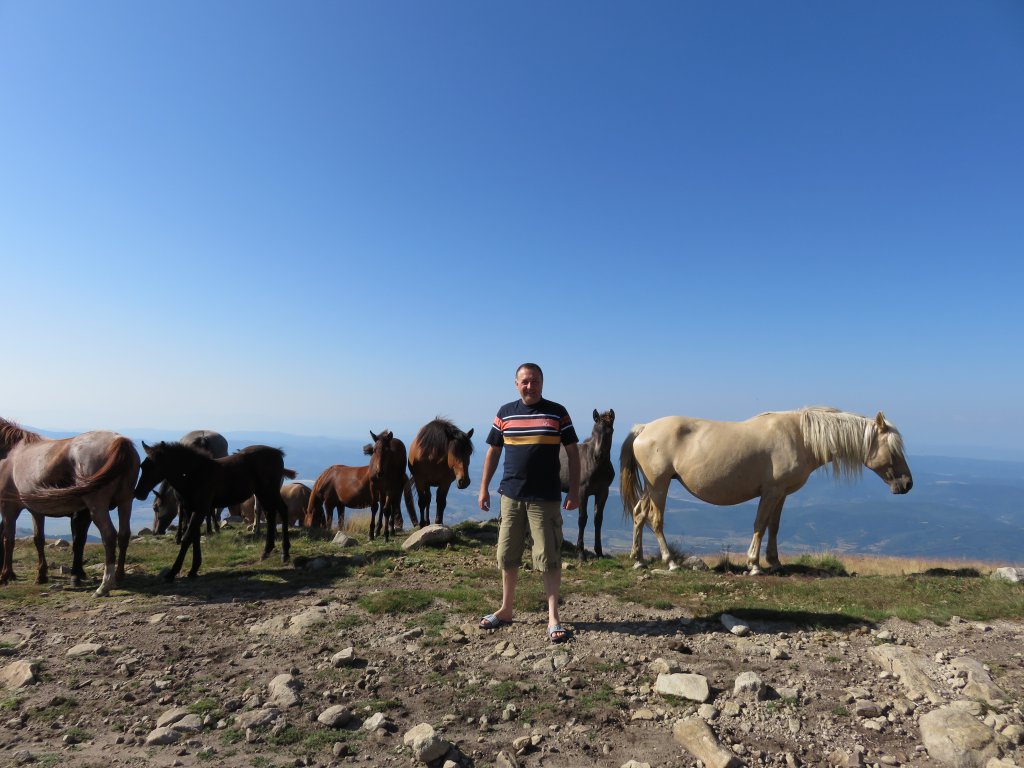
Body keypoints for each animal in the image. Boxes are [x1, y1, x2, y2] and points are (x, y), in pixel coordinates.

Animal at [0, 418, 140, 596]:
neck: (12, 453)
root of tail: (119, 440)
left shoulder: (8, 508)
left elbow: (8, 539)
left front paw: (5, 576)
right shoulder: (36, 511)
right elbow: (39, 539)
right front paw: (41, 575)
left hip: (98, 506)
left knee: (109, 536)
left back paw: (105, 585)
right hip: (125, 501)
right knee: (123, 535)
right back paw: (119, 576)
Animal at [134, 442, 296, 581]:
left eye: (153, 466)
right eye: (142, 465)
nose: (138, 493)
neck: (193, 474)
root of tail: (277, 452)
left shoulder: (200, 509)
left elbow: (187, 538)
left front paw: (173, 572)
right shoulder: (190, 509)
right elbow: (194, 536)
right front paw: (194, 569)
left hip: (270, 491)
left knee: (282, 511)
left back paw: (285, 553)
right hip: (262, 493)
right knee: (270, 514)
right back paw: (267, 551)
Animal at [559, 409, 615, 558]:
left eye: (610, 431)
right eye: (594, 432)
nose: (598, 456)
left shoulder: (603, 492)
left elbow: (598, 519)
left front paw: (599, 552)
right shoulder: (582, 492)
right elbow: (582, 518)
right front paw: (580, 552)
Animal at [619, 407, 913, 573]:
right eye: (894, 450)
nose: (907, 484)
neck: (800, 437)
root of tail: (643, 429)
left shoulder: (781, 493)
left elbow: (774, 526)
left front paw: (774, 562)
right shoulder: (771, 491)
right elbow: (760, 524)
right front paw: (754, 565)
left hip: (651, 486)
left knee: (639, 514)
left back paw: (639, 559)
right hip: (660, 485)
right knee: (655, 520)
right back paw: (669, 561)